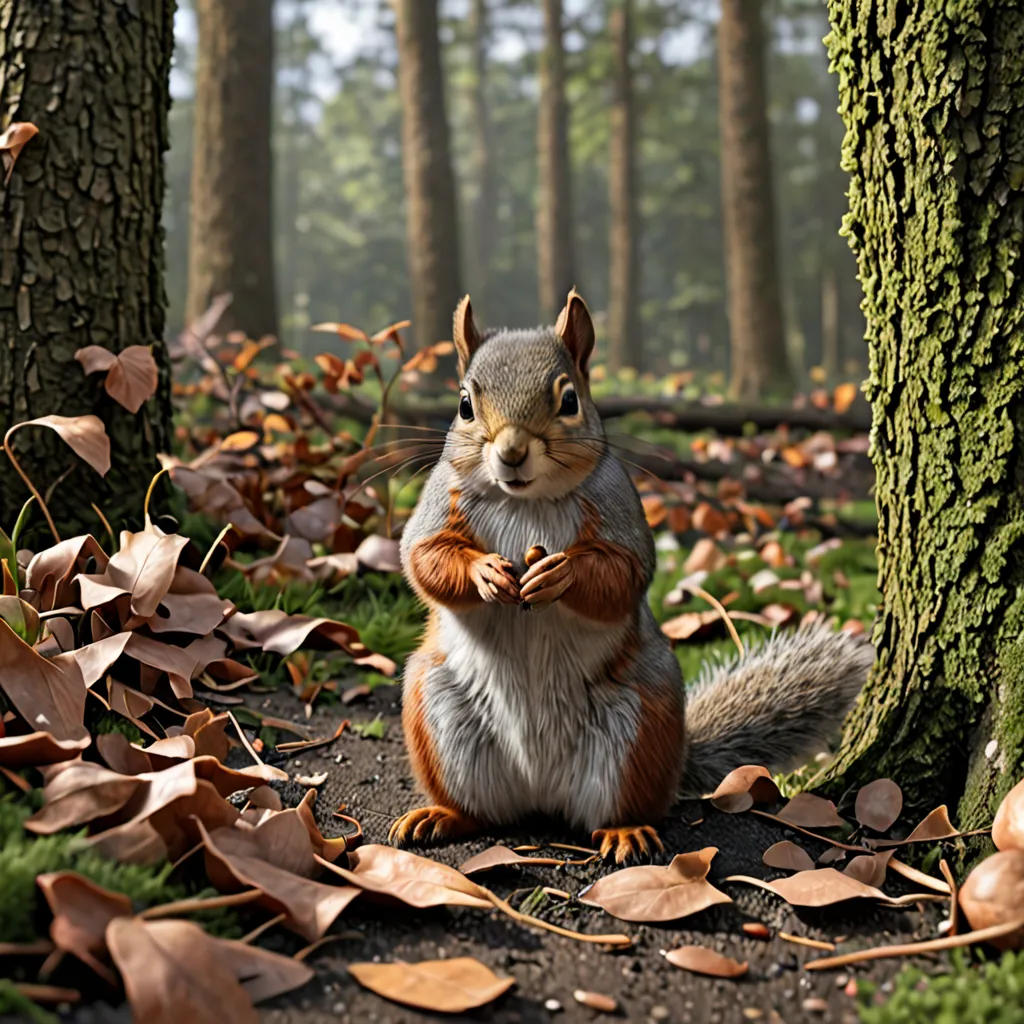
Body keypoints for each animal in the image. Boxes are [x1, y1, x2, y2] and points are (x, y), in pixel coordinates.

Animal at [391, 290, 873, 863]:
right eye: (465, 404)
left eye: (569, 401)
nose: (510, 454)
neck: (525, 500)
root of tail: (541, 791)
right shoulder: (438, 505)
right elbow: (423, 556)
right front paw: (484, 572)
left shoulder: (620, 511)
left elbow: (621, 575)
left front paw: (561, 573)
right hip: (435, 710)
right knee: (481, 810)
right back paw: (442, 816)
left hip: (639, 720)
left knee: (622, 806)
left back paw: (625, 831)